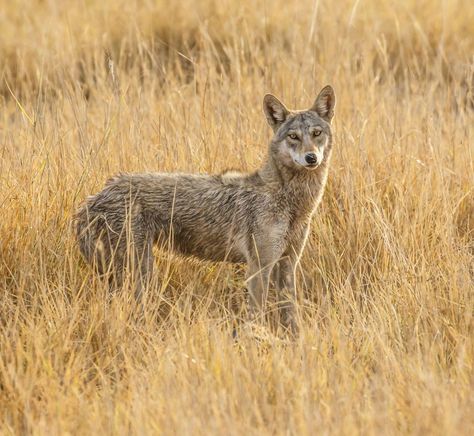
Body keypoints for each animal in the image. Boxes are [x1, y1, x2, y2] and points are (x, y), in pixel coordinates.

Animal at [75, 85, 336, 330]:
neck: (292, 203)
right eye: (293, 137)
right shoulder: (259, 266)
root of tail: (91, 201)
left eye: (316, 133)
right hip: (139, 275)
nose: (311, 158)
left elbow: (292, 318)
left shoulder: (288, 263)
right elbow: (256, 316)